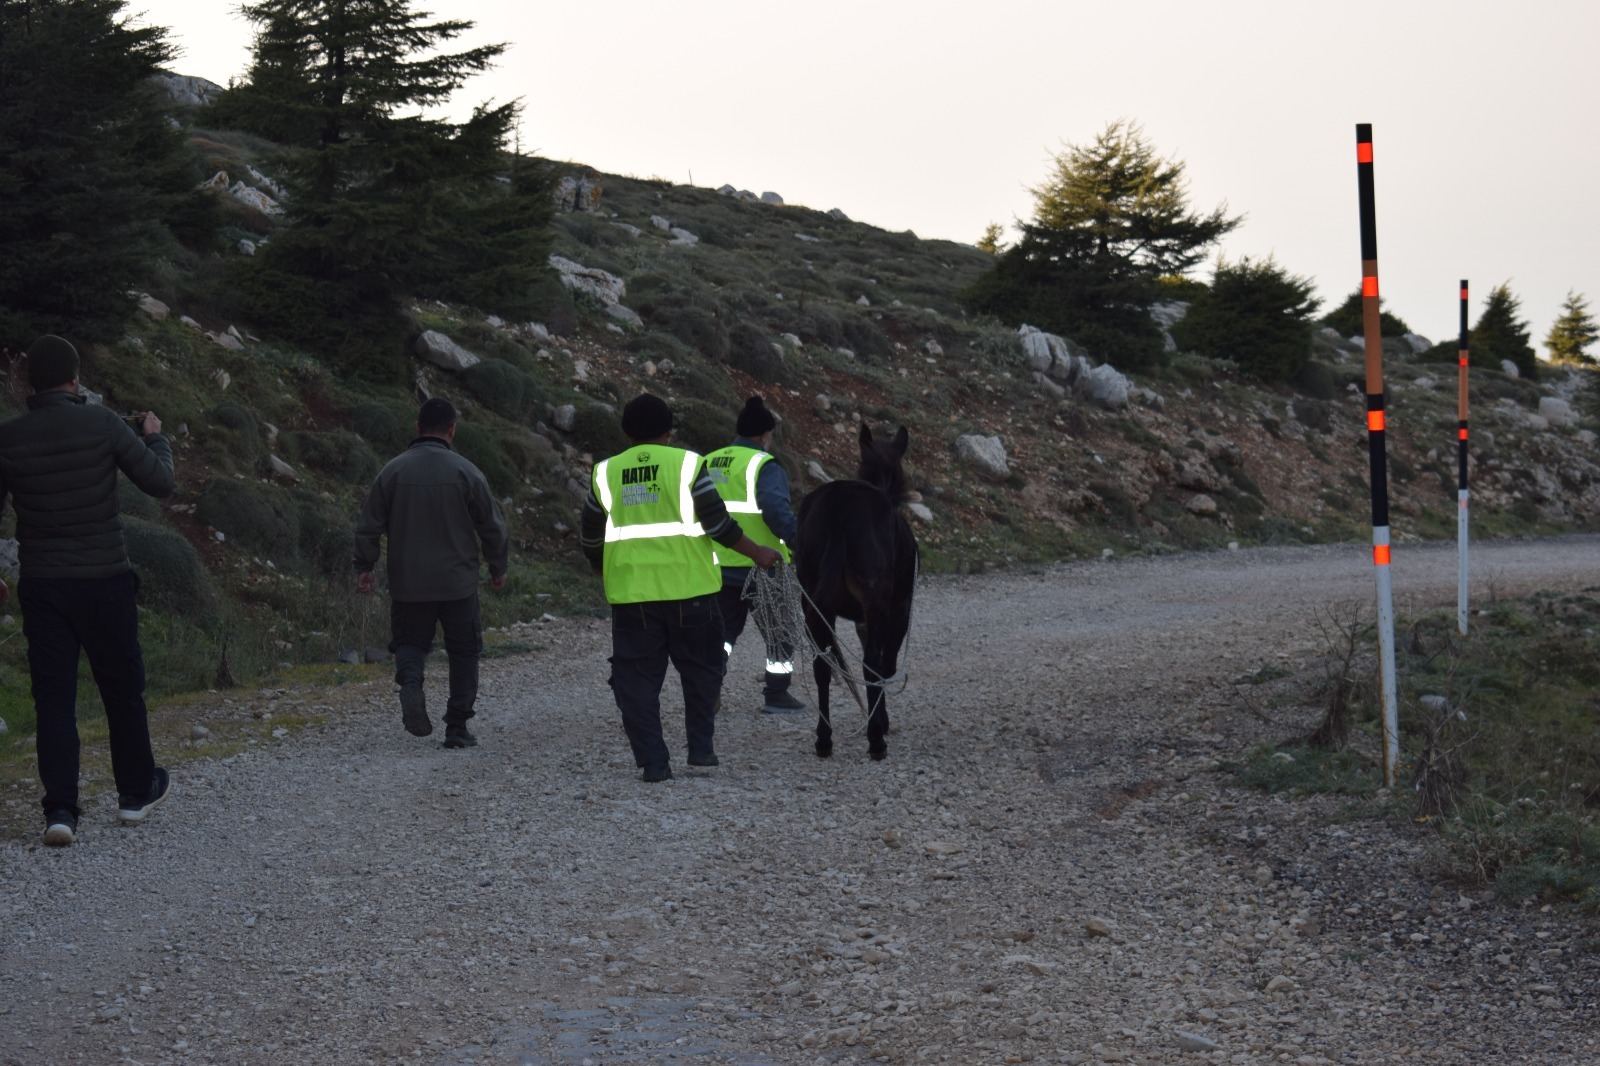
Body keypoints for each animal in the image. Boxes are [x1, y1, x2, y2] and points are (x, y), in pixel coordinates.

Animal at [796, 419, 921, 758]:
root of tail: (838, 510)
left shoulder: (861, 620)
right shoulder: (897, 609)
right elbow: (884, 665)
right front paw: (880, 722)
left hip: (814, 603)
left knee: (822, 666)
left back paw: (824, 738)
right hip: (875, 601)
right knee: (871, 665)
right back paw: (875, 740)